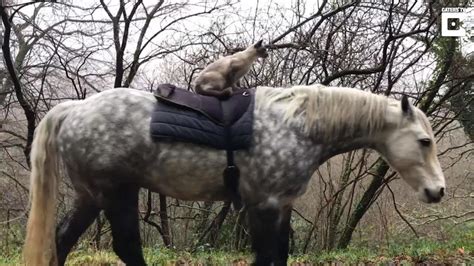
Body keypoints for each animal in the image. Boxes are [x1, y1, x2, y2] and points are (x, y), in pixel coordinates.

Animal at [22, 84, 444, 264]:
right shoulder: (263, 207)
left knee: (60, 242)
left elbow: (279, 257)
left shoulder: (280, 206)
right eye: (424, 141)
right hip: (116, 194)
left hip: (91, 196)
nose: (437, 191)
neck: (296, 124)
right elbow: (266, 258)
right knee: (125, 248)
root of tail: (75, 109)